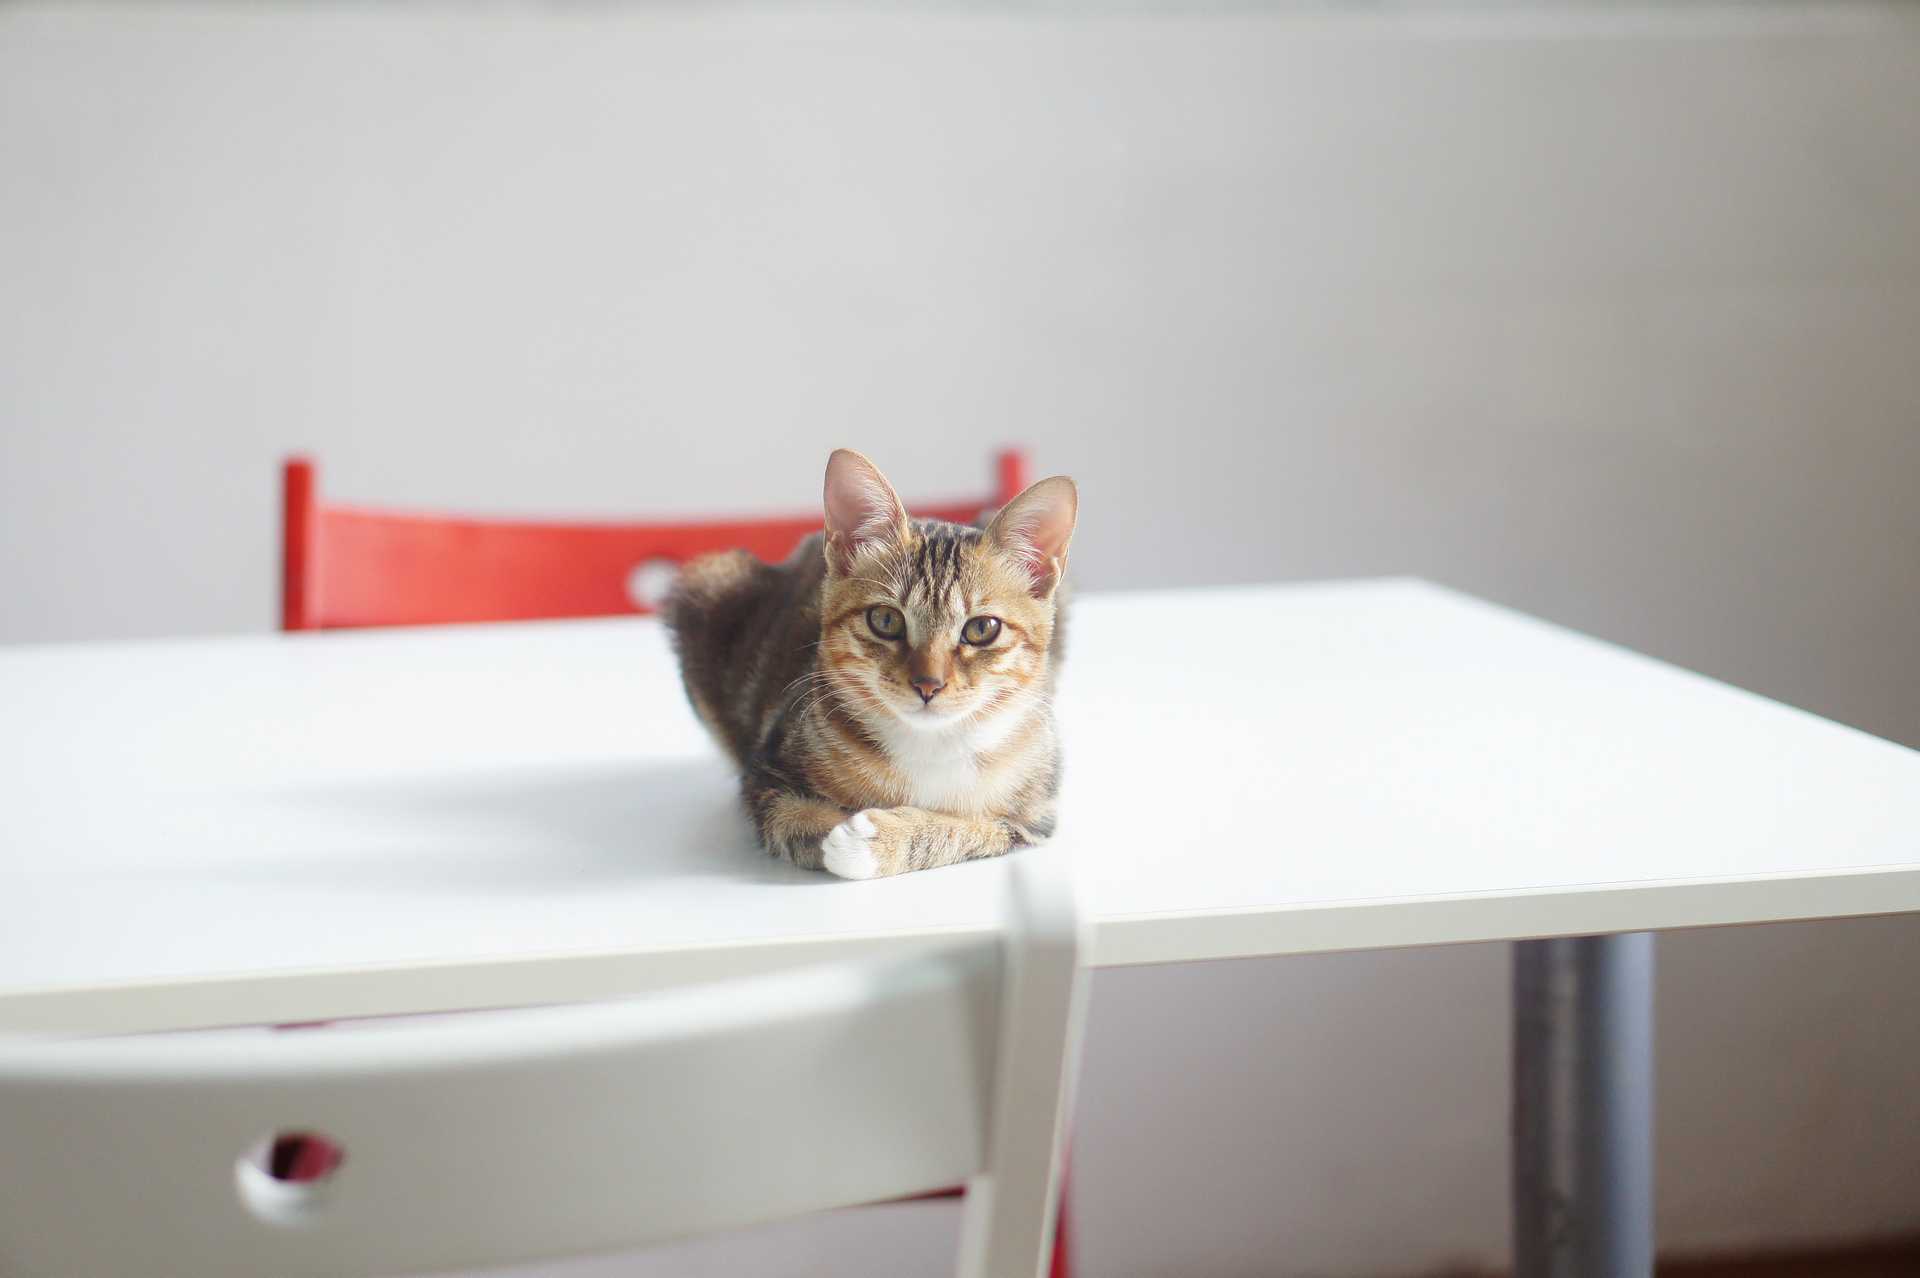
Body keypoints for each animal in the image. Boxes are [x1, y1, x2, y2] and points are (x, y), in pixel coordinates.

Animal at [668, 447, 1075, 875]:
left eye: (982, 628)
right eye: (886, 620)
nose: (928, 684)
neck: (929, 745)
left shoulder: (1035, 817)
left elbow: (974, 828)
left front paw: (878, 840)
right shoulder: (765, 774)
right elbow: (789, 818)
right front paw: (837, 831)